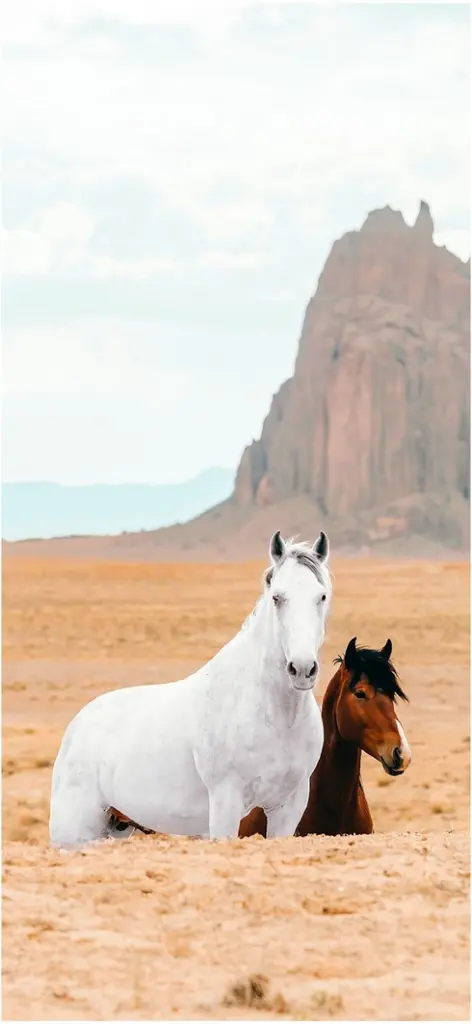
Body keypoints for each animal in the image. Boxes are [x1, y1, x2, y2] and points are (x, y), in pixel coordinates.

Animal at [49, 530, 332, 847]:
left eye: (321, 595)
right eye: (277, 598)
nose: (302, 668)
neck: (274, 713)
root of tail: (76, 726)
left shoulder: (288, 806)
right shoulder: (225, 802)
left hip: (115, 826)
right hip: (74, 833)